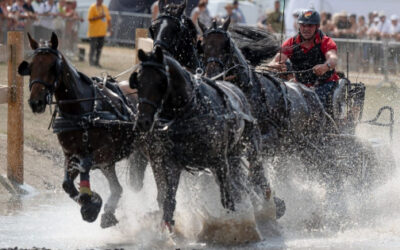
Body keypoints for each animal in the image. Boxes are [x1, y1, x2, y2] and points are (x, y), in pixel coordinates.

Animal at [18, 33, 147, 229]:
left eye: (53, 67)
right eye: (30, 67)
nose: (36, 102)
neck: (82, 111)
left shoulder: (106, 153)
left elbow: (86, 164)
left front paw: (90, 203)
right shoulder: (70, 154)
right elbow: (66, 184)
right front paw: (90, 203)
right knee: (117, 187)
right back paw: (109, 212)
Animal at [130, 46, 274, 230]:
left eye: (161, 82)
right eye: (138, 81)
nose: (143, 121)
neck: (189, 111)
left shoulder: (219, 162)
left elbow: (227, 199)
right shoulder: (170, 163)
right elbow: (168, 200)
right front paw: (167, 229)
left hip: (251, 144)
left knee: (256, 172)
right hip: (232, 156)